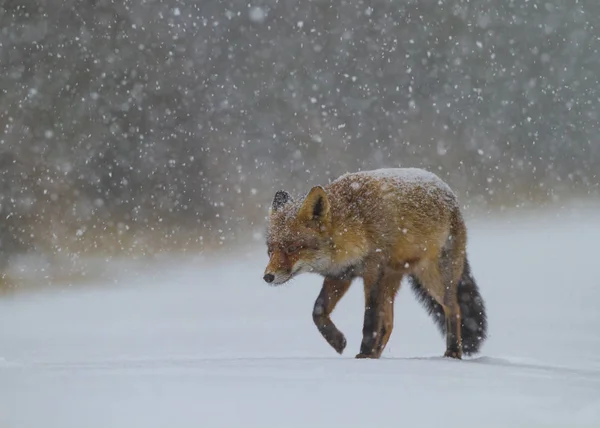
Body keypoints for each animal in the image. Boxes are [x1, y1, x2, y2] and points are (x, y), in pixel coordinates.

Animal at [262, 167, 488, 358]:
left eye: (292, 248)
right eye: (270, 250)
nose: (267, 277)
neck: (356, 224)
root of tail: (449, 192)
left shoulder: (373, 272)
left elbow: (370, 320)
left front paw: (363, 355)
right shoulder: (340, 275)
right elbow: (318, 312)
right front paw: (338, 341)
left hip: (433, 278)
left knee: (454, 309)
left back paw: (453, 352)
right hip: (394, 281)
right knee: (389, 323)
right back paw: (377, 355)